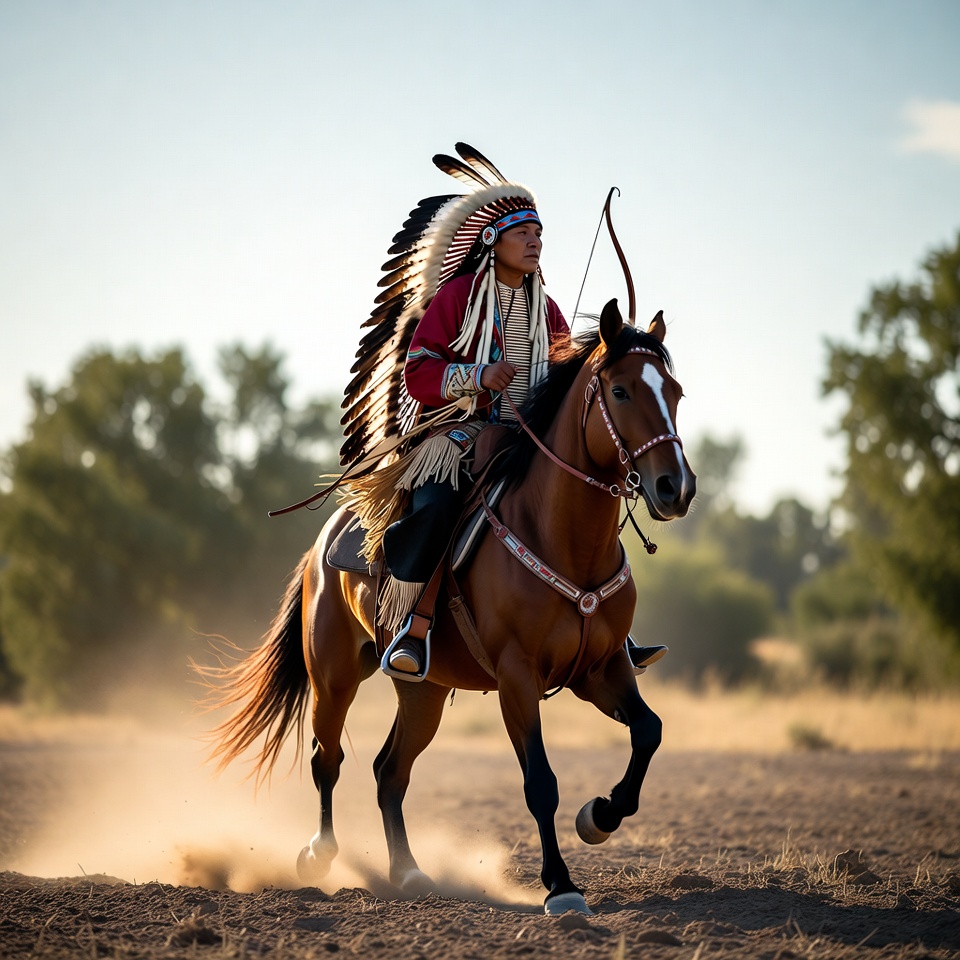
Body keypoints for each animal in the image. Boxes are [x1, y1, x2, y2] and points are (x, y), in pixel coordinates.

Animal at [203, 298, 696, 915]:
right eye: (623, 391)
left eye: (675, 391)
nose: (676, 488)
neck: (563, 537)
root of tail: (325, 539)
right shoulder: (517, 677)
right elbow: (540, 782)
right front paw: (561, 885)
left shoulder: (601, 670)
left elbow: (649, 731)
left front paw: (599, 817)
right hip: (334, 674)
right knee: (327, 758)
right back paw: (319, 853)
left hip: (424, 691)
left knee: (389, 771)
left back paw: (409, 872)